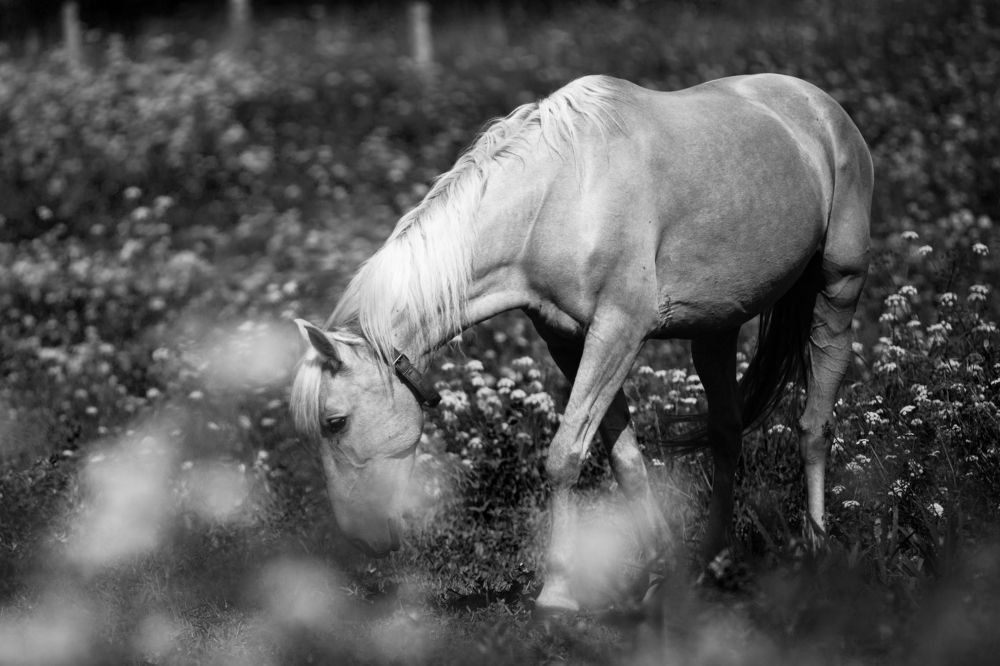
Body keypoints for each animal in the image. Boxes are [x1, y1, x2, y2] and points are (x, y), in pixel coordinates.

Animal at [290, 73, 872, 612]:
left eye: (335, 422)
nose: (362, 540)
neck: (558, 201)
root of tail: (820, 105)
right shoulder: (569, 343)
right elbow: (625, 461)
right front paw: (661, 573)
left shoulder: (619, 331)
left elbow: (563, 457)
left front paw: (558, 594)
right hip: (717, 326)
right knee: (726, 432)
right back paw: (714, 560)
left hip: (837, 291)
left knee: (814, 426)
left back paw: (816, 548)